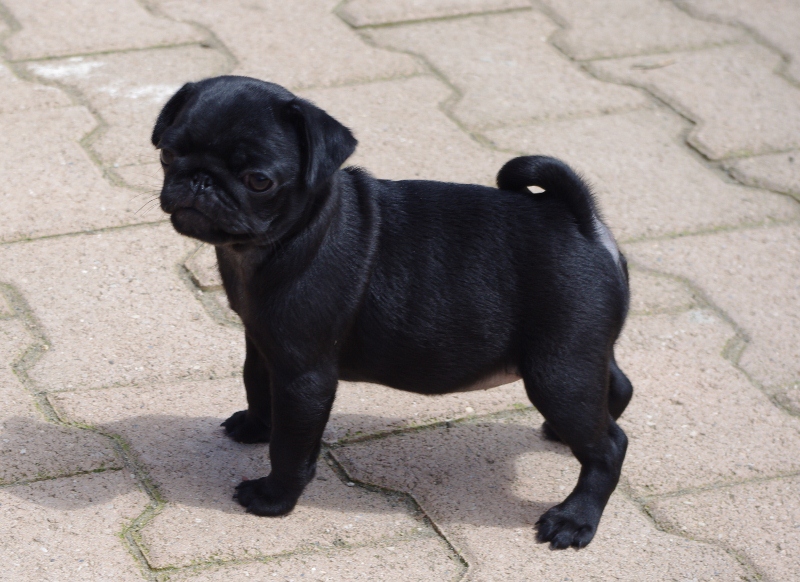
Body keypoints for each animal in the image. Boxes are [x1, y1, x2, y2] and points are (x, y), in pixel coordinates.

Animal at [153, 75, 633, 549]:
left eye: (258, 181)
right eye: (168, 154)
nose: (200, 181)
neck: (285, 238)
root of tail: (582, 221)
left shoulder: (304, 376)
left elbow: (290, 446)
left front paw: (273, 498)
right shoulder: (261, 342)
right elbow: (254, 383)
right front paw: (254, 426)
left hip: (556, 372)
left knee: (609, 446)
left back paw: (575, 518)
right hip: (578, 354)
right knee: (618, 387)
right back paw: (562, 434)